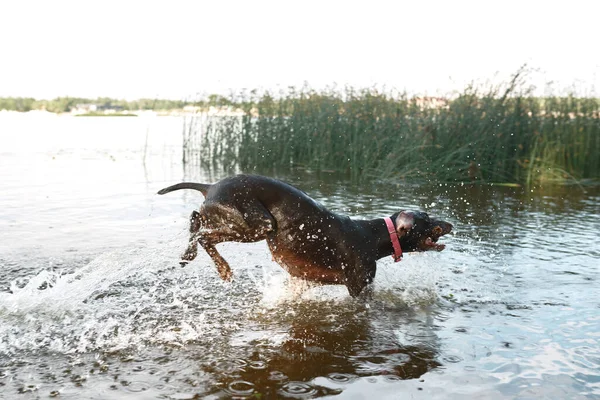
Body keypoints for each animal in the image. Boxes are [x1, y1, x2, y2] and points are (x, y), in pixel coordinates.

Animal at [157, 175, 452, 296]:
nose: (449, 224)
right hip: (258, 224)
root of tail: (210, 185)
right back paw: (223, 268)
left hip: (231, 218)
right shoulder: (360, 288)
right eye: (427, 220)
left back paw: (188, 254)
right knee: (203, 235)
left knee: (196, 220)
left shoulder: (303, 280)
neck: (373, 236)